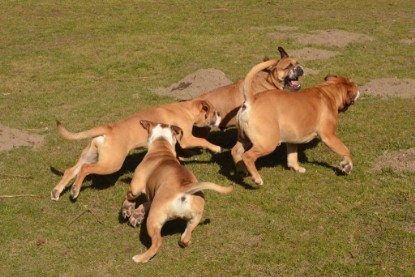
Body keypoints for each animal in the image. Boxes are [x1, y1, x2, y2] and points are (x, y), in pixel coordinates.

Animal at [50, 99, 223, 201]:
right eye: (214, 112)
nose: (220, 114)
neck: (186, 108)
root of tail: (108, 129)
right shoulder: (187, 138)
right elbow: (203, 141)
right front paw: (217, 148)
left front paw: (186, 155)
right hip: (112, 164)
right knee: (85, 169)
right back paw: (74, 190)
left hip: (91, 155)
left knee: (71, 170)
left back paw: (57, 192)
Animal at [122, 119, 234, 262]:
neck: (161, 145)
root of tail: (184, 189)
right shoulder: (152, 196)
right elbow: (144, 204)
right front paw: (136, 214)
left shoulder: (135, 186)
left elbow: (129, 197)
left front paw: (127, 209)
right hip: (195, 217)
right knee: (186, 236)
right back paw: (186, 241)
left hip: (154, 219)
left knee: (157, 242)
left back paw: (141, 258)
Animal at [231, 60, 360, 185]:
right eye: (353, 85)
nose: (358, 87)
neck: (329, 91)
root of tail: (252, 101)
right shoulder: (329, 136)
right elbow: (345, 150)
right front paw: (347, 166)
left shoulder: (292, 138)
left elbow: (292, 156)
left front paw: (296, 168)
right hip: (268, 143)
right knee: (248, 156)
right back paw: (257, 179)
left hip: (244, 138)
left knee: (236, 151)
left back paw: (241, 170)